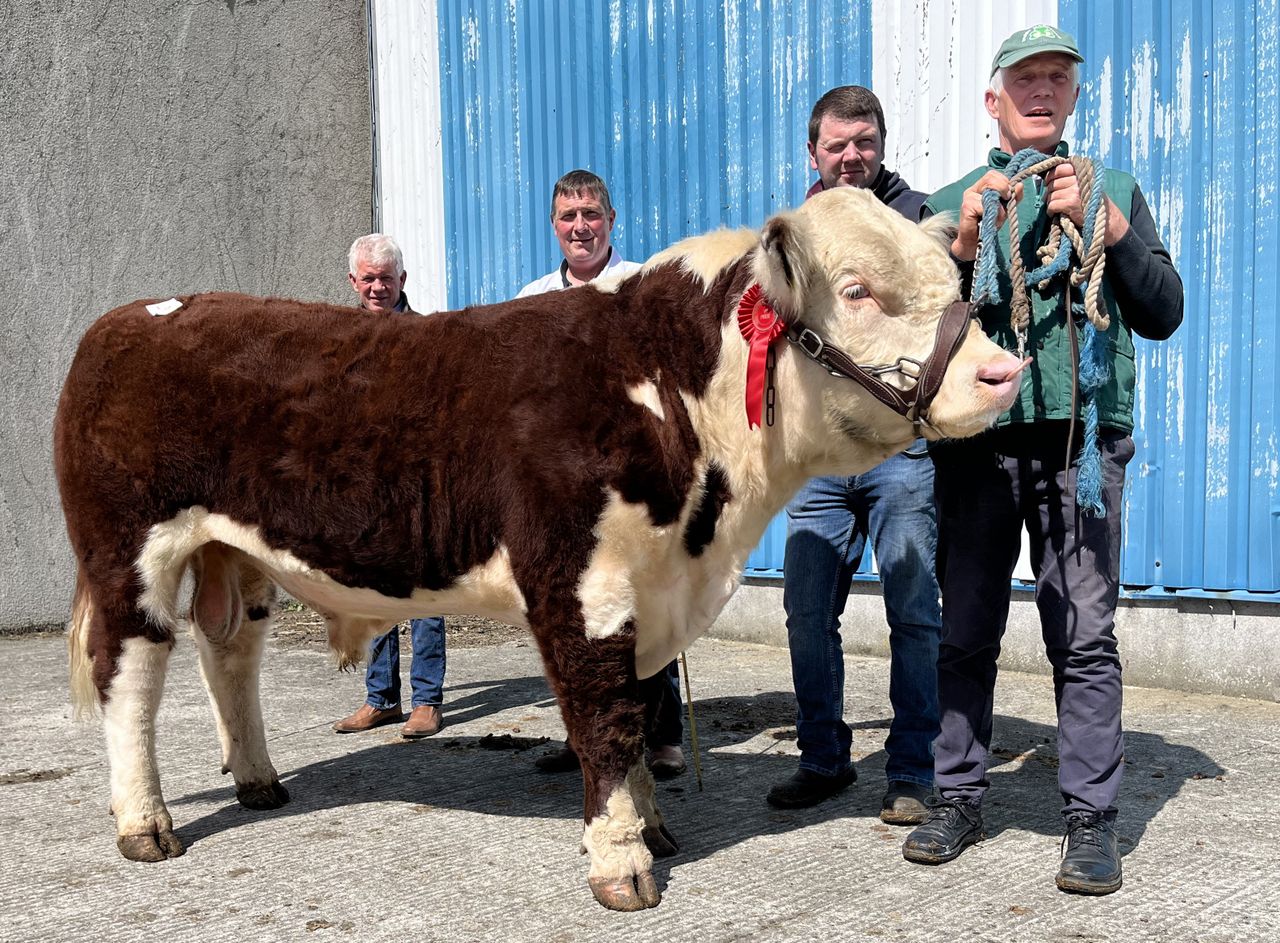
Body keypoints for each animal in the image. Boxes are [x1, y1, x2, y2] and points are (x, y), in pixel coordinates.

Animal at [54, 187, 1024, 911]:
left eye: (948, 274)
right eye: (857, 289)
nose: (1001, 373)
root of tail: (130, 318)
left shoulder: (649, 586)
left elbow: (638, 711)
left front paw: (649, 826)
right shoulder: (581, 585)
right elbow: (604, 718)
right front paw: (621, 862)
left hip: (234, 554)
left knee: (230, 654)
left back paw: (257, 778)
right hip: (126, 552)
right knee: (129, 677)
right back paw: (144, 824)